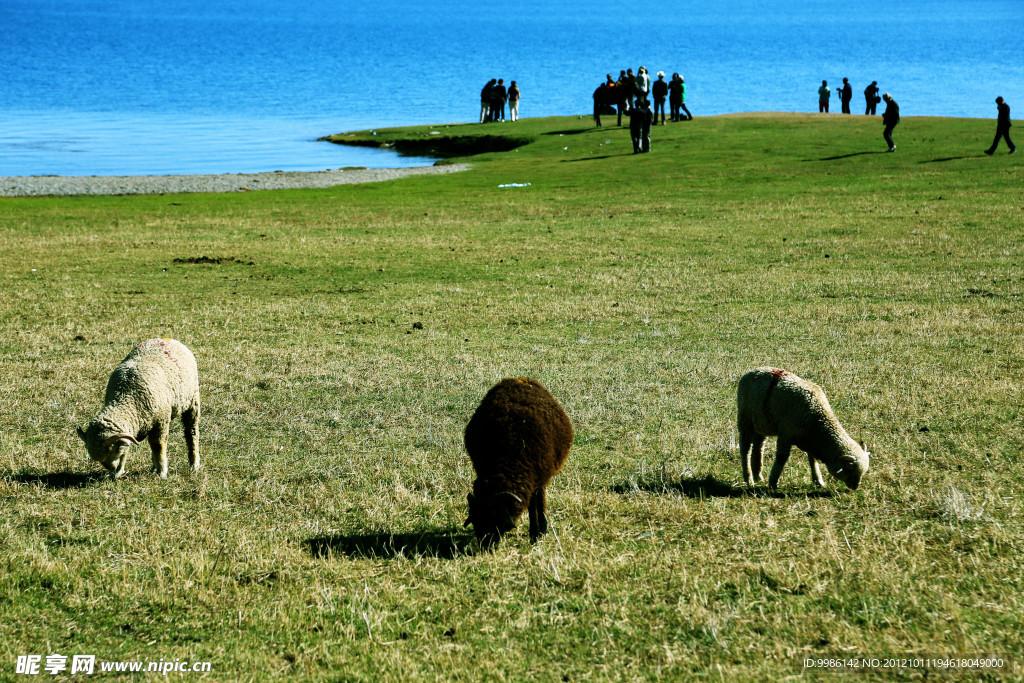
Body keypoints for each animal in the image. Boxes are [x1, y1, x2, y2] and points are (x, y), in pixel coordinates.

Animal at [76, 337, 199, 481]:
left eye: (111, 451)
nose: (111, 468)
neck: (126, 396)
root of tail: (166, 338)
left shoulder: (161, 421)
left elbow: (158, 446)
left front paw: (162, 472)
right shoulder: (131, 427)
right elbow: (128, 448)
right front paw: (118, 472)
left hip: (192, 400)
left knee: (191, 433)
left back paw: (194, 464)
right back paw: (153, 467)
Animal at [462, 376, 573, 548]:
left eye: (495, 517)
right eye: (476, 522)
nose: (486, 547)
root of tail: (518, 379)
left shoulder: (535, 477)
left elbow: (533, 506)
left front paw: (535, 534)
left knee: (540, 498)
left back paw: (543, 527)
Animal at [737, 368, 872, 491]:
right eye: (849, 470)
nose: (855, 487)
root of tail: (751, 372)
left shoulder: (809, 439)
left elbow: (812, 459)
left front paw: (818, 481)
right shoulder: (786, 433)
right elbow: (782, 458)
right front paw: (773, 483)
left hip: (761, 423)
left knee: (758, 446)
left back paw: (758, 475)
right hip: (745, 420)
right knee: (745, 449)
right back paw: (749, 479)